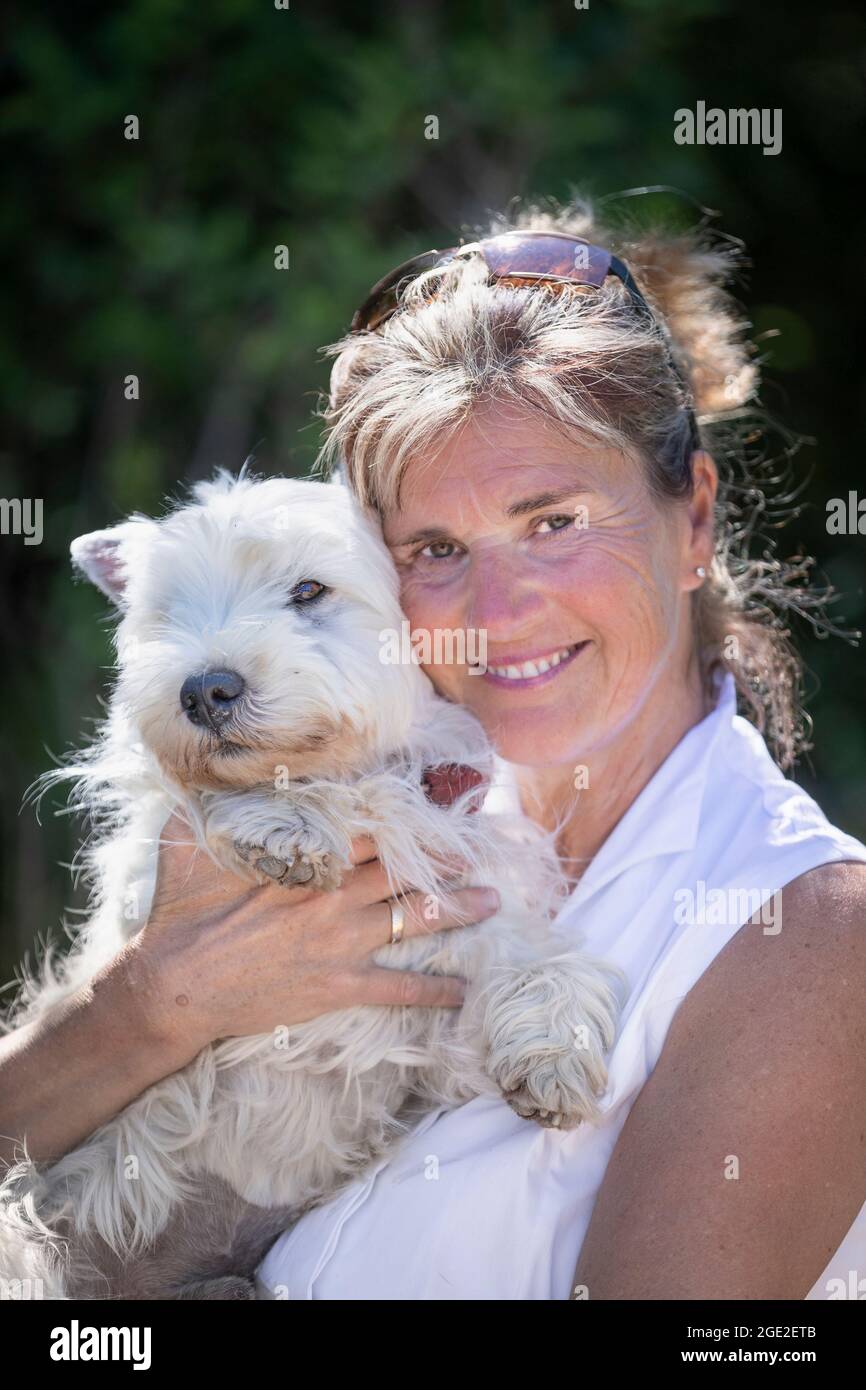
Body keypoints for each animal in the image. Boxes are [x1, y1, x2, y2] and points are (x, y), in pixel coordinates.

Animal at [0, 472, 622, 1295]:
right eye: (167, 612)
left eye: (308, 590)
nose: (205, 691)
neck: (360, 773)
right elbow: (223, 799)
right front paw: (281, 823)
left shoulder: (430, 1023)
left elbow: (540, 965)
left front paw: (554, 1057)